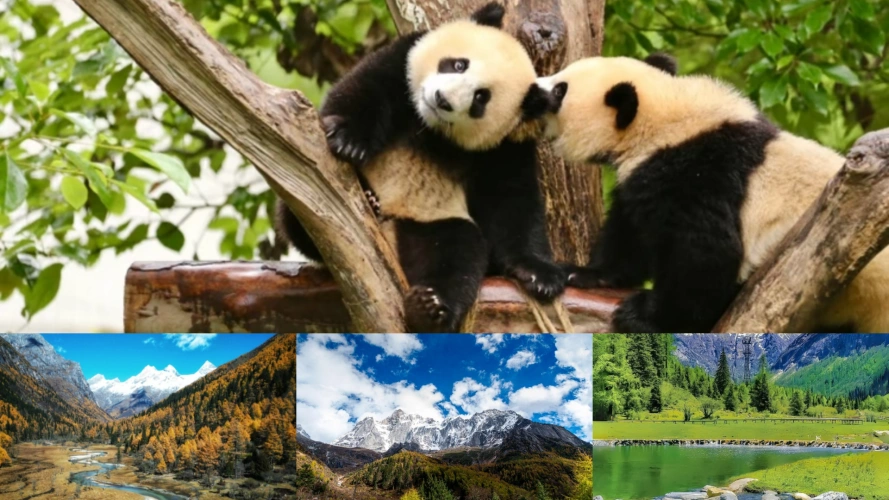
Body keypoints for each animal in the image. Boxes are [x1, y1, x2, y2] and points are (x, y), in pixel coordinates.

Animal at [276, 2, 565, 333]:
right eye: (458, 65)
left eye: (481, 97)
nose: (442, 99)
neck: (428, 127)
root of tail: (390, 233)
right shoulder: (402, 58)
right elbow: (365, 89)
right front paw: (349, 141)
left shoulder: (507, 144)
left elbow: (512, 200)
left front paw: (540, 274)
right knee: (300, 213)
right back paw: (365, 200)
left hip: (430, 220)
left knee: (458, 250)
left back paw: (429, 308)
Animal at [535, 53, 889, 333]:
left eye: (560, 89)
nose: (532, 89)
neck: (664, 117)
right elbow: (630, 235)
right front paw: (586, 273)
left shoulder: (697, 173)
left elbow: (706, 251)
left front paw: (645, 315)